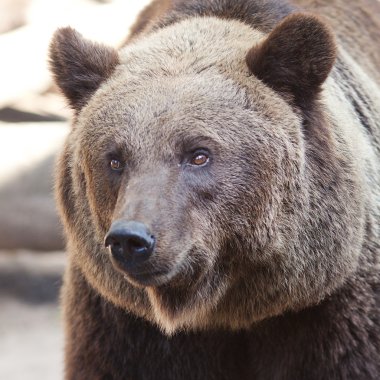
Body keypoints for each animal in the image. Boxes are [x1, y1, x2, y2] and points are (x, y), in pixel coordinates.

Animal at [49, 0, 378, 378]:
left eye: (198, 154)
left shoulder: (330, 311)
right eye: (115, 159)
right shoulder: (122, 324)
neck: (223, 311)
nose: (131, 239)